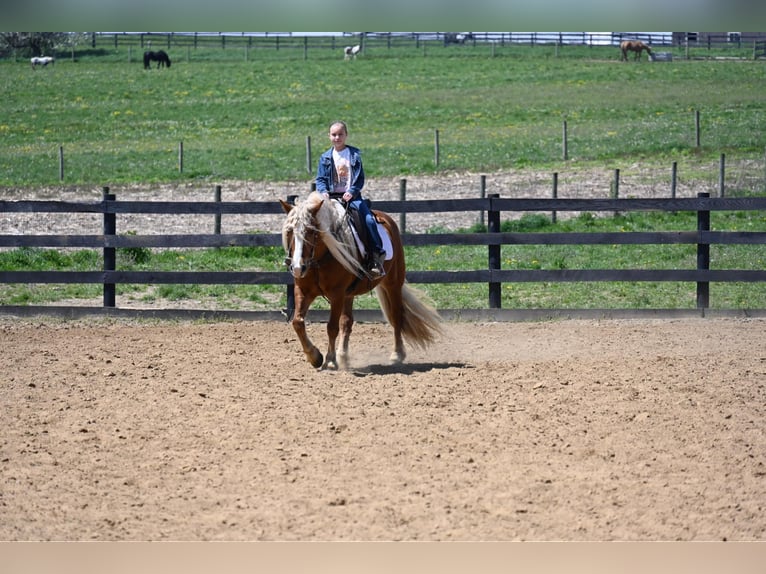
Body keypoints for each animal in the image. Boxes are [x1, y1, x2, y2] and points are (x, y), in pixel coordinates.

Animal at [280, 192, 444, 374]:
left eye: (310, 231)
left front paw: (330, 361)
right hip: (349, 294)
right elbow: (298, 322)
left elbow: (331, 327)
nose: (297, 267)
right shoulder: (303, 291)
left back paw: (397, 354)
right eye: (289, 231)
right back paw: (343, 356)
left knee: (396, 316)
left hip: (393, 284)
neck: (320, 259)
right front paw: (315, 357)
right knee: (347, 322)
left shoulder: (336, 294)